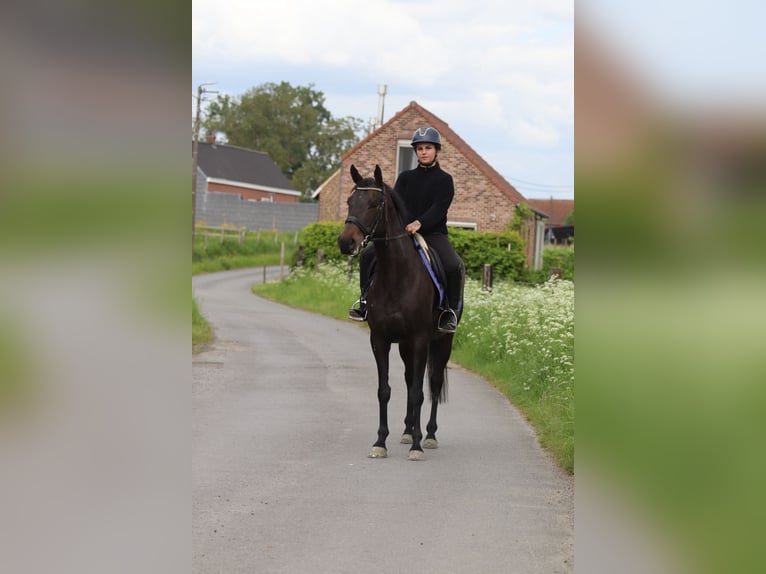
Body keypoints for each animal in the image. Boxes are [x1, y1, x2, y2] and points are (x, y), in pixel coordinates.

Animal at [337, 164, 463, 461]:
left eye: (374, 204)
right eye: (349, 201)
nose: (346, 242)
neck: (397, 274)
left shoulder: (420, 339)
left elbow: (419, 392)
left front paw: (417, 446)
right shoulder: (380, 340)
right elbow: (385, 390)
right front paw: (380, 442)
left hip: (442, 342)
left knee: (433, 383)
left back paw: (428, 435)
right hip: (405, 346)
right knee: (408, 380)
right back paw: (407, 430)